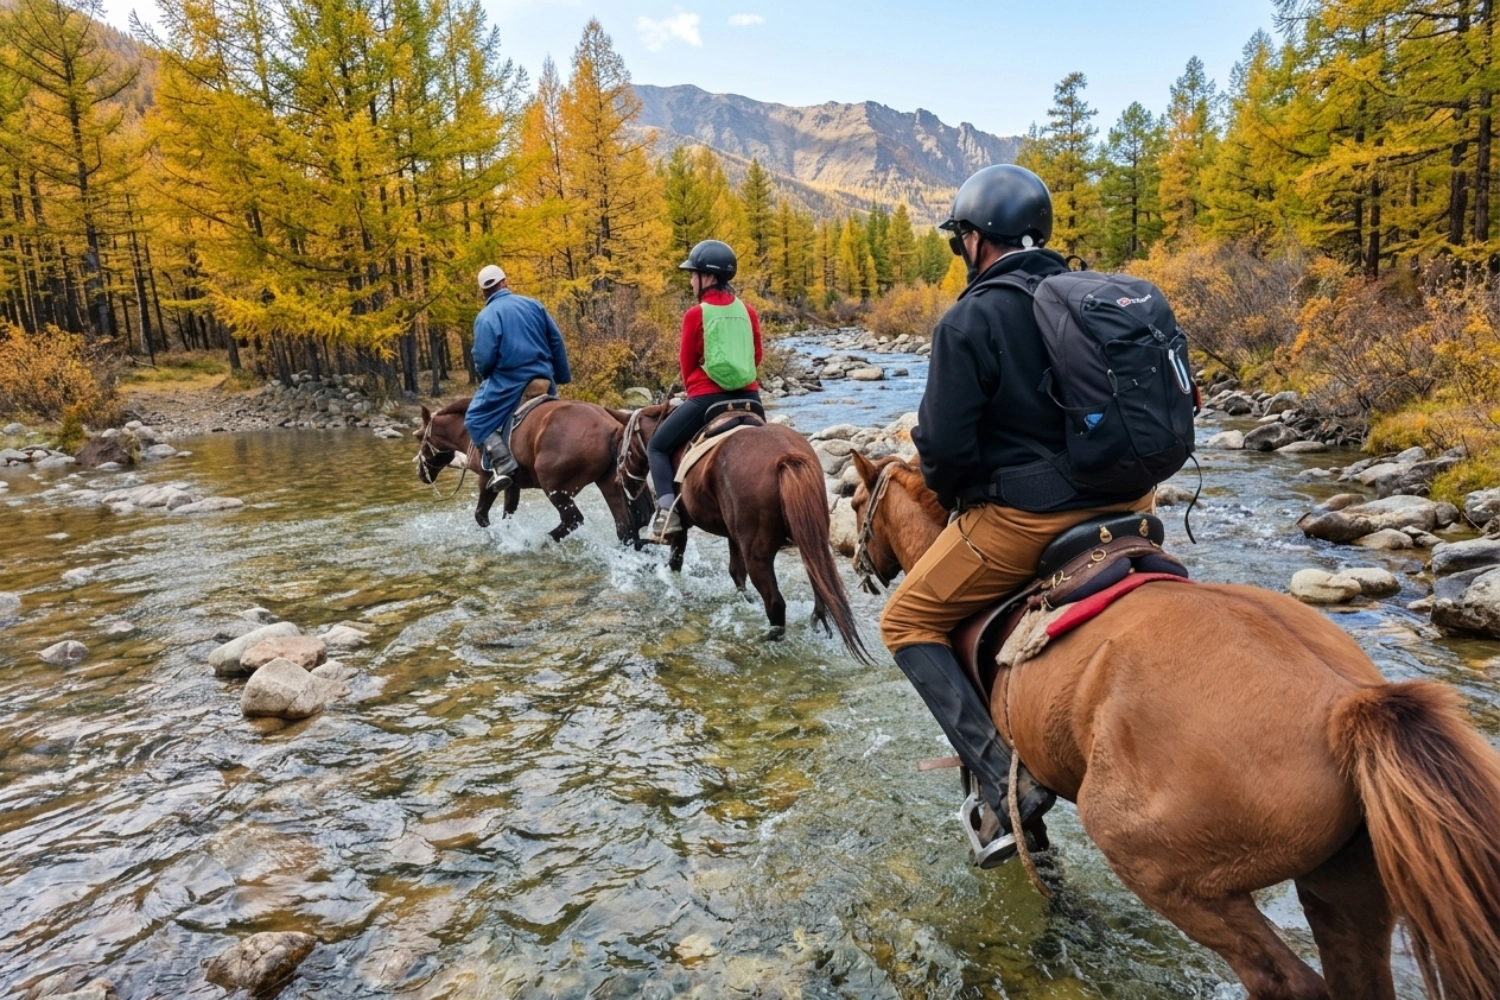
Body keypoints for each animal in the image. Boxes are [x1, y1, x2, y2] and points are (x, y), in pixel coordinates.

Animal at [415, 397, 654, 545]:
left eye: (418, 437)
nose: (420, 473)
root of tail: (611, 426)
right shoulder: (513, 486)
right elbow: (507, 515)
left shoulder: (487, 480)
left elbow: (481, 516)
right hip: (608, 485)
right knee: (625, 529)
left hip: (555, 489)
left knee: (573, 519)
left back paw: (541, 541)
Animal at [618, 402, 869, 660]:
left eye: (622, 448)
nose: (622, 480)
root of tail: (786, 456)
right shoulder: (733, 537)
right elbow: (736, 573)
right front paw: (742, 601)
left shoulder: (682, 530)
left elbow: (676, 562)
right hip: (810, 539)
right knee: (819, 586)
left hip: (758, 555)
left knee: (775, 603)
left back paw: (770, 641)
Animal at [848, 450, 1500, 1000]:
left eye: (854, 502)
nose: (859, 563)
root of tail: (1346, 706)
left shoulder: (1005, 776)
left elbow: (1032, 842)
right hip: (1347, 889)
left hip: (1169, 875)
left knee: (1282, 980)